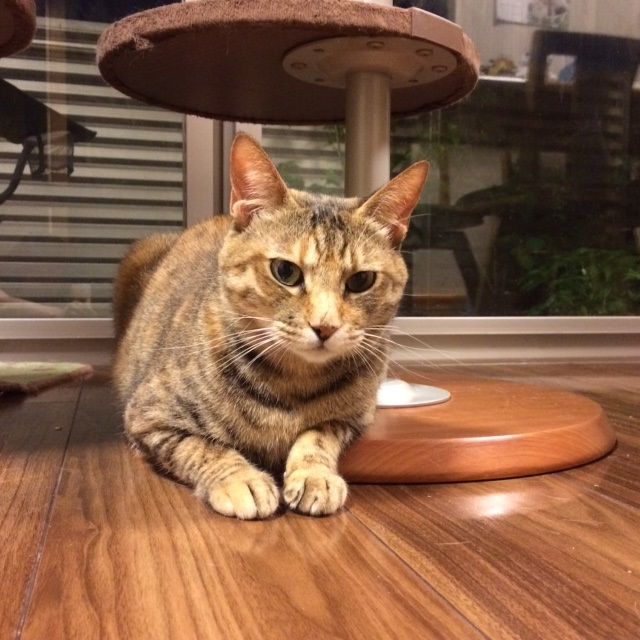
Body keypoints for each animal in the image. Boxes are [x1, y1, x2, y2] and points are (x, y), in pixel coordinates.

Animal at [112, 133, 428, 519]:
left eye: (361, 280)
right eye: (285, 271)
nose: (325, 326)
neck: (293, 384)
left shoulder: (354, 416)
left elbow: (318, 434)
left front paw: (315, 476)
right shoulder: (149, 414)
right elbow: (203, 448)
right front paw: (240, 480)